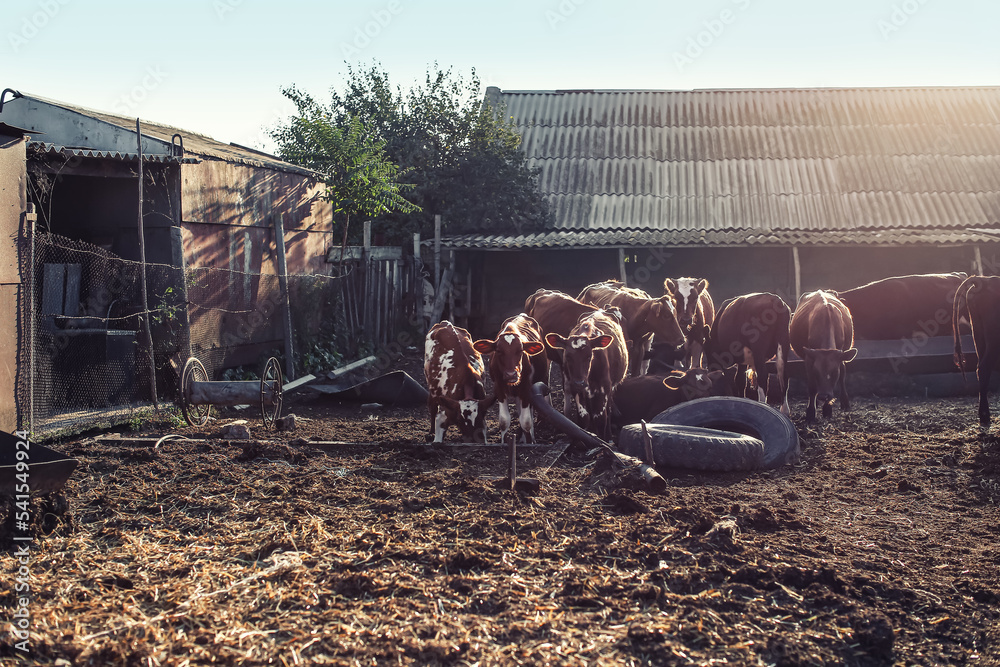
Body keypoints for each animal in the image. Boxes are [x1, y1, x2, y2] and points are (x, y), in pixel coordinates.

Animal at [473, 314, 548, 444]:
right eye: (498, 351)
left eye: (520, 350)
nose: (511, 375)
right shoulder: (499, 388)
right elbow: (504, 421)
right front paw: (504, 442)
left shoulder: (526, 388)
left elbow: (526, 421)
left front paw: (530, 442)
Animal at [542, 308, 629, 440]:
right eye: (568, 357)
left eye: (589, 357)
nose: (579, 382)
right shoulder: (577, 389)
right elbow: (584, 418)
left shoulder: (604, 388)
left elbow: (601, 419)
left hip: (610, 388)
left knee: (608, 410)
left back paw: (608, 435)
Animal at [789, 290, 858, 422]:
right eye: (816, 371)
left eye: (834, 372)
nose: (823, 395)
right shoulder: (809, 358)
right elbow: (812, 387)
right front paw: (811, 412)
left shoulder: (840, 354)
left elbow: (839, 377)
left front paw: (827, 410)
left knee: (843, 376)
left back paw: (845, 403)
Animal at [952, 275, 1000, 427]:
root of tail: (985, 280)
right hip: (993, 340)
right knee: (984, 368)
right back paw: (985, 416)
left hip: (978, 336)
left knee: (980, 369)